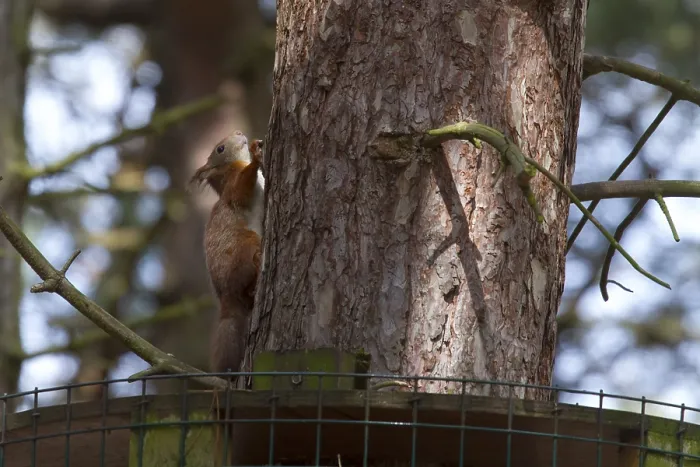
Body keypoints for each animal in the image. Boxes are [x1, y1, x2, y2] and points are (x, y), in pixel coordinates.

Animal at [189, 130, 265, 377]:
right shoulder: (234, 185)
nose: (240, 133)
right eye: (220, 149)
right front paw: (256, 157)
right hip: (245, 245)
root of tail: (226, 296)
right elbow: (242, 189)